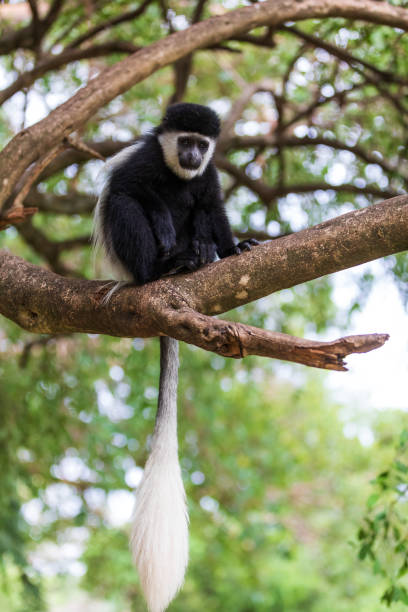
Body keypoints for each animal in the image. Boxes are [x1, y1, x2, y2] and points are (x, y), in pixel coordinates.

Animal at [94, 105, 256, 612]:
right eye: (184, 140)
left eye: (202, 145)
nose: (191, 156)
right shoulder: (145, 159)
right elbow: (130, 188)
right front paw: (163, 219)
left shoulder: (211, 176)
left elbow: (214, 208)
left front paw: (235, 246)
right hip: (132, 257)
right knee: (124, 204)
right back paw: (164, 267)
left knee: (200, 215)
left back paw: (201, 255)